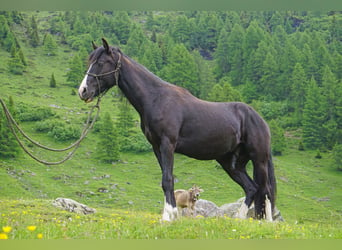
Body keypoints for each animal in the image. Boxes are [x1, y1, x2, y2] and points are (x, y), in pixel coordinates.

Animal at [79, 38, 276, 222]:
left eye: (101, 62)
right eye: (90, 62)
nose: (83, 91)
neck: (156, 99)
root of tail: (260, 120)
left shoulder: (168, 144)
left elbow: (167, 180)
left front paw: (168, 217)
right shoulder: (157, 147)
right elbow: (167, 180)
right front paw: (170, 215)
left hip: (259, 160)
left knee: (265, 190)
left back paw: (267, 221)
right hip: (232, 163)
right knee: (251, 188)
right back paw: (240, 218)